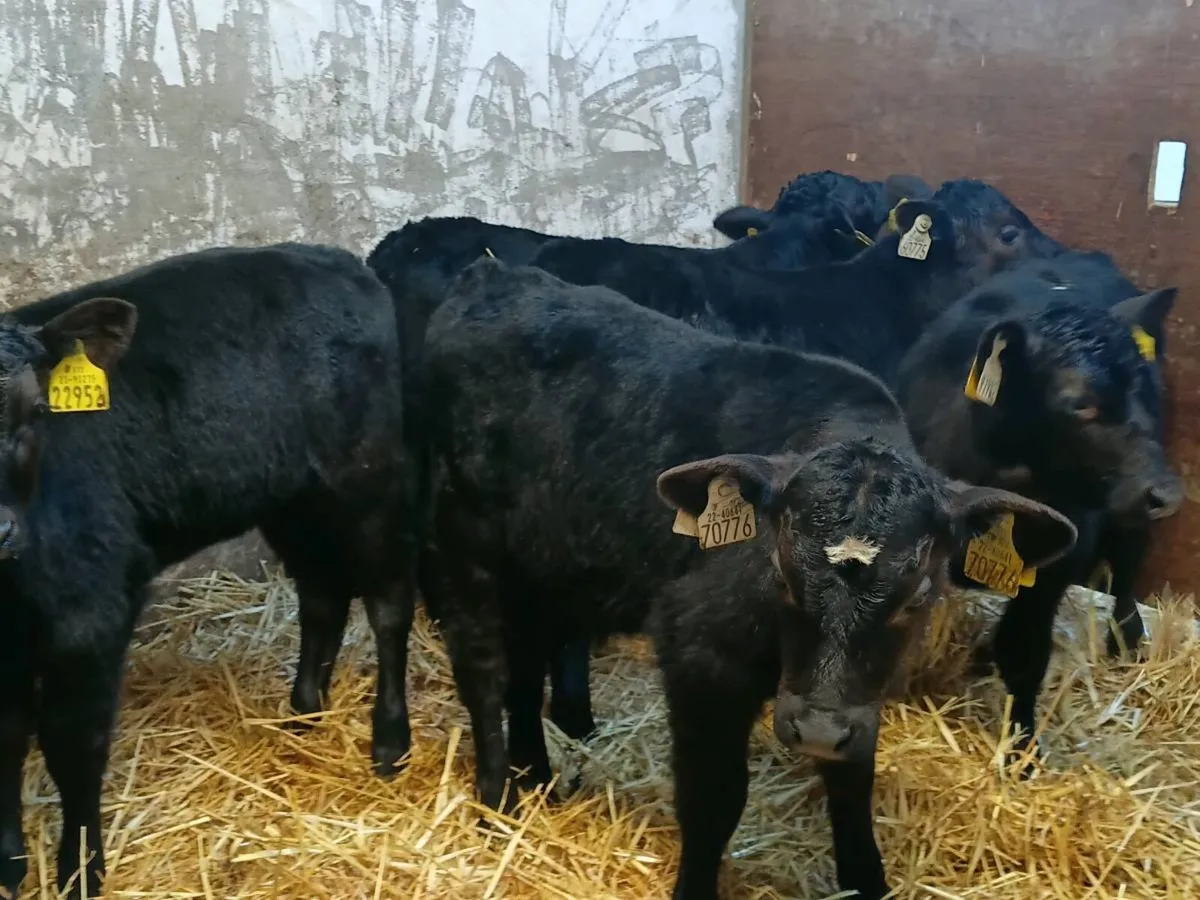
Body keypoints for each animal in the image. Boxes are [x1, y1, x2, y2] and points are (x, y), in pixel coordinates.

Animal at [0, 244, 417, 899]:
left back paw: (389, 740)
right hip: (294, 498)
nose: (1, 532)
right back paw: (305, 712)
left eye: (35, 411)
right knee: (322, 596)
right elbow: (6, 739)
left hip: (367, 479)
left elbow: (73, 747)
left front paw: (81, 871)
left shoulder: (91, 615)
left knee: (389, 603)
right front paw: (7, 863)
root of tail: (336, 258)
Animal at [418, 257, 1077, 900]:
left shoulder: (854, 699)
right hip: (463, 544)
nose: (815, 731)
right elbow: (712, 801)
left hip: (544, 569)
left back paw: (536, 779)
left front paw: (867, 879)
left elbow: (851, 779)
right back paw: (496, 802)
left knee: (526, 671)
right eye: (781, 574)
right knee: (483, 671)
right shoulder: (700, 655)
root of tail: (492, 274)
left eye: (917, 595)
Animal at [896, 253, 1183, 762]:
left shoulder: (1055, 568)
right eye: (1079, 403)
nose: (1166, 494)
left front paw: (1022, 749)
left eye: (1148, 392)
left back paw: (1127, 638)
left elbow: (1025, 652)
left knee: (1128, 564)